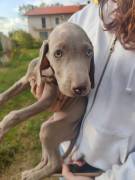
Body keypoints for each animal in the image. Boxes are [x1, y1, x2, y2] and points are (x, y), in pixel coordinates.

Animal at [0, 21, 94, 179]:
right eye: (58, 53)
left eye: (89, 52)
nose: (81, 88)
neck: (45, 68)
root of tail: (75, 132)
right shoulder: (25, 80)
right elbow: (6, 94)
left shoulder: (47, 99)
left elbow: (15, 114)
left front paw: (1, 128)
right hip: (48, 126)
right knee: (46, 158)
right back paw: (31, 172)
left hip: (49, 129)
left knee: (55, 164)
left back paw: (32, 176)